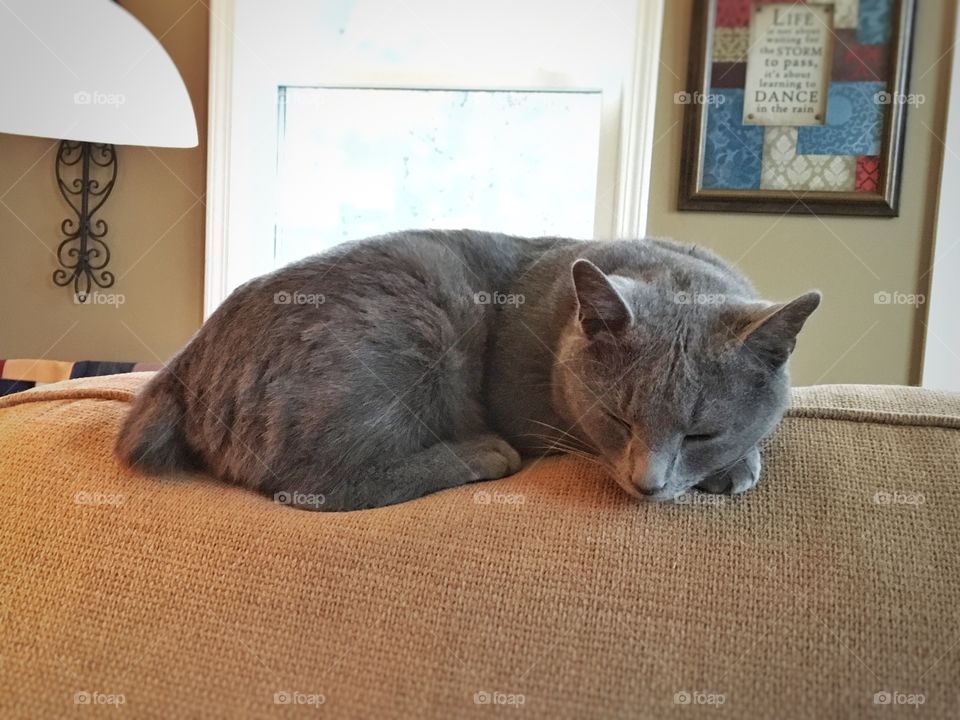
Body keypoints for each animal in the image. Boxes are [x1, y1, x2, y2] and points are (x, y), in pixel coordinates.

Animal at [112, 228, 816, 510]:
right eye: (616, 419)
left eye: (701, 432)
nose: (649, 484)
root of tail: (181, 365)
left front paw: (734, 464)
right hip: (415, 325)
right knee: (314, 483)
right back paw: (485, 454)